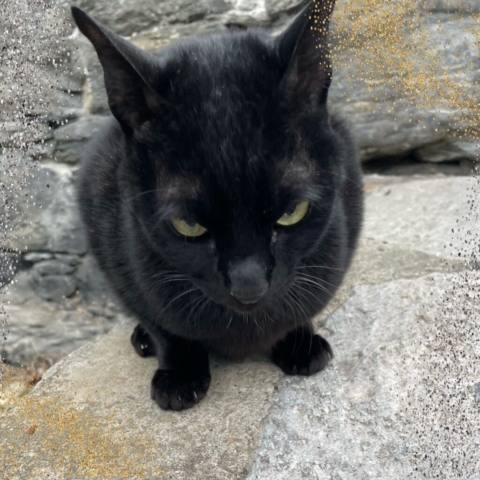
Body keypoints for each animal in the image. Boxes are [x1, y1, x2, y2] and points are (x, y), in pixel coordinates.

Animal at [72, 0, 364, 412]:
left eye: (292, 213)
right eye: (188, 225)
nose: (248, 286)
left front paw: (299, 342)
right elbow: (165, 327)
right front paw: (179, 374)